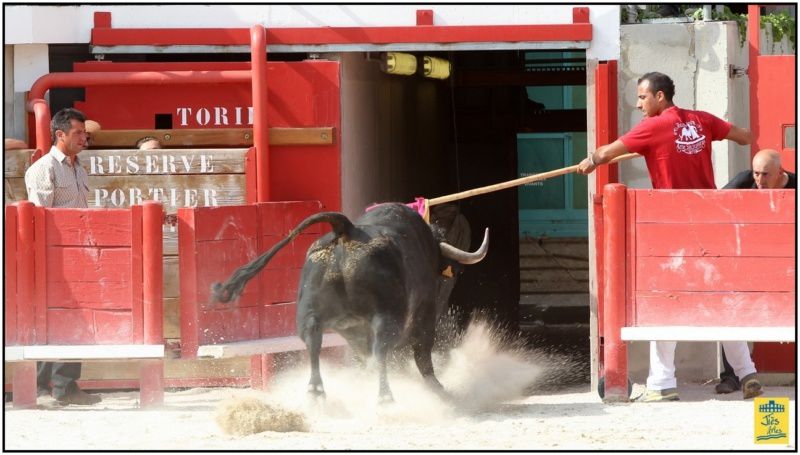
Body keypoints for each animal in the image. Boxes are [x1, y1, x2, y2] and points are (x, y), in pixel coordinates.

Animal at [212, 203, 488, 402]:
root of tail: (346, 228)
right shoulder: (426, 313)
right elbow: (421, 353)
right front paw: (436, 387)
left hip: (310, 312)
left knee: (314, 342)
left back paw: (316, 391)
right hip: (387, 316)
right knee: (381, 349)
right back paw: (385, 397)